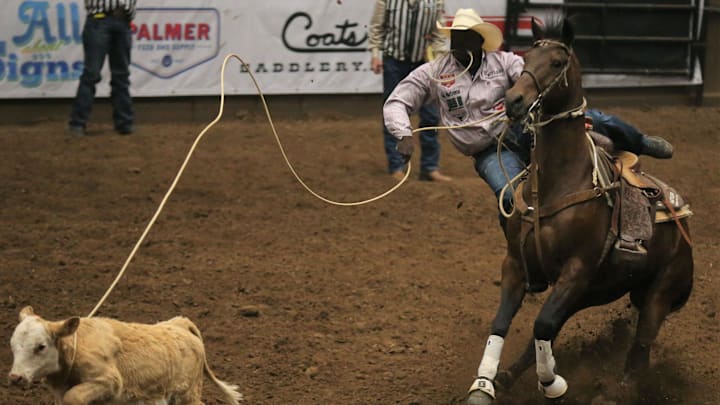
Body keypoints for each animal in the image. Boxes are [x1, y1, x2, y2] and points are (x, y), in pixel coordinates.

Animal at [9, 306, 243, 405]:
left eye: (40, 346)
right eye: (12, 345)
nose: (15, 377)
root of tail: (180, 323)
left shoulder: (109, 382)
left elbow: (73, 397)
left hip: (187, 395)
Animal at [465, 18, 694, 405]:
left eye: (557, 62)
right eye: (526, 57)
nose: (513, 100)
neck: (559, 181)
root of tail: (684, 227)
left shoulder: (576, 269)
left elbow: (542, 324)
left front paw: (552, 383)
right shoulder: (516, 264)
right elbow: (506, 324)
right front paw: (484, 385)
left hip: (659, 291)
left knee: (640, 348)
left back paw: (617, 391)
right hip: (593, 291)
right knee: (551, 332)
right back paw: (511, 375)